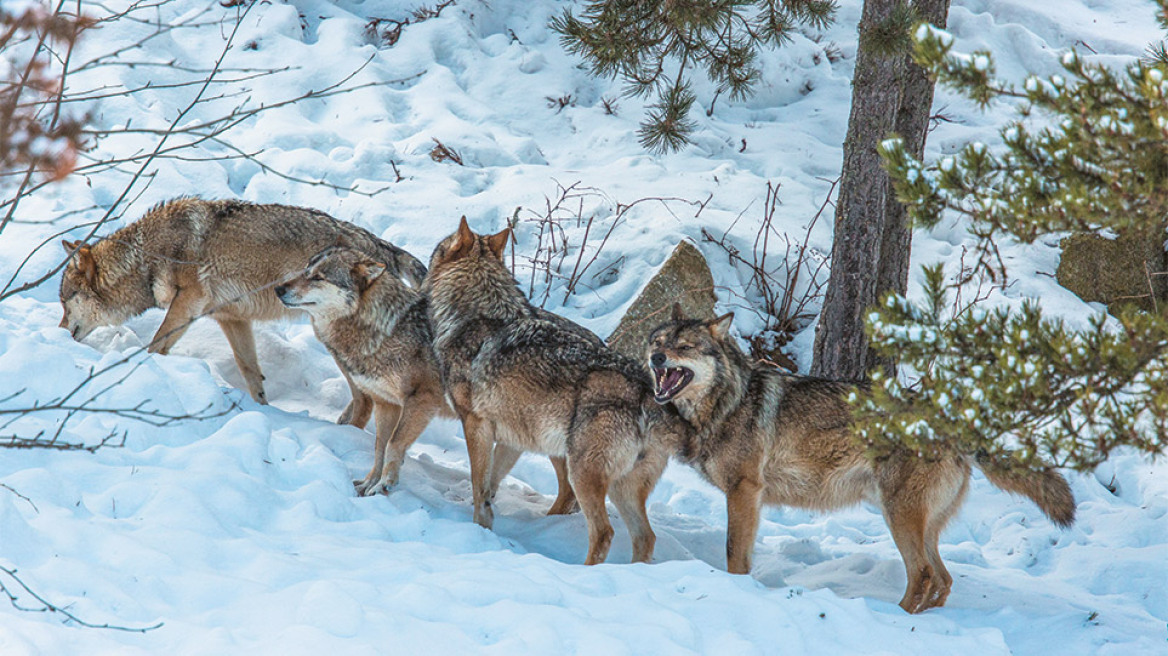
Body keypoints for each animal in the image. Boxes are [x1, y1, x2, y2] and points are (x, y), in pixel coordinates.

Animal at [58, 193, 425, 417]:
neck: (145, 256)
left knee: (364, 400)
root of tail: (381, 248)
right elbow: (251, 371)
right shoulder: (231, 319)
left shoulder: (187, 302)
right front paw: (262, 409)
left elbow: (155, 345)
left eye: (64, 302)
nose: (58, 333)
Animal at [422, 215, 682, 562]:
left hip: (582, 471)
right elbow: (489, 486)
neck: (477, 315)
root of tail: (646, 390)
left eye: (435, 252)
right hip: (617, 486)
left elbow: (479, 485)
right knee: (645, 536)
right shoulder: (511, 438)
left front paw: (477, 528)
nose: (422, 275)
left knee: (603, 531)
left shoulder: (475, 425)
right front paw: (488, 523)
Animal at [649, 303, 1074, 611]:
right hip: (920, 522)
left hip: (899, 514)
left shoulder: (744, 491)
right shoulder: (747, 498)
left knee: (923, 573)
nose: (655, 359)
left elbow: (734, 555)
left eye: (683, 348)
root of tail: (951, 417)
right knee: (943, 578)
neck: (727, 402)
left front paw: (735, 590)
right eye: (657, 342)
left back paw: (896, 617)